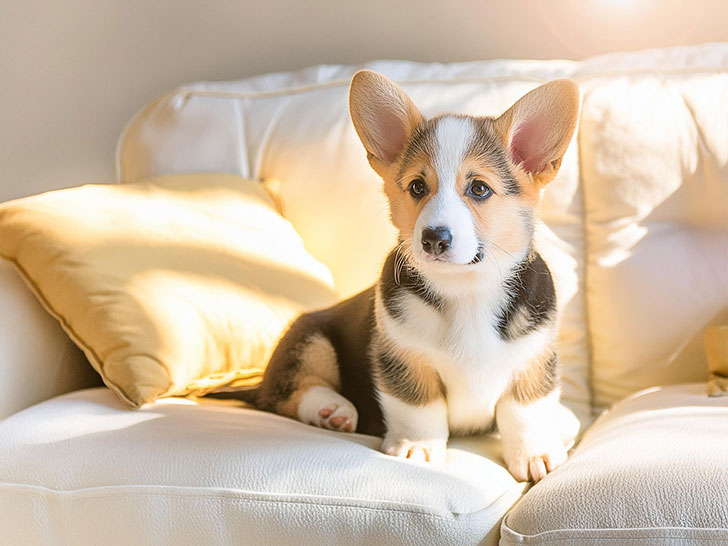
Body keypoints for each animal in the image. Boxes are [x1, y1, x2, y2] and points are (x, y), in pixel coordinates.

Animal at [222, 69, 580, 480]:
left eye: (479, 188)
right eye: (417, 186)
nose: (434, 238)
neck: (467, 290)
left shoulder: (533, 361)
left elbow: (525, 411)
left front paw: (536, 453)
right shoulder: (401, 357)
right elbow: (418, 405)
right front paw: (417, 448)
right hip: (310, 338)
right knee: (284, 393)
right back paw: (332, 410)